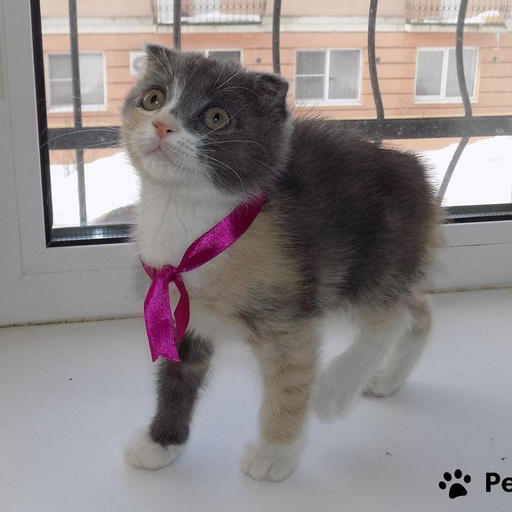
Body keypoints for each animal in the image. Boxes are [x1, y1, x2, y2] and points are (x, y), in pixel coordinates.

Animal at [121, 44, 442, 481]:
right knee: (419, 305)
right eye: (153, 99)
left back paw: (337, 389)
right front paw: (161, 444)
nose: (161, 125)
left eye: (216, 117)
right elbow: (178, 378)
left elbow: (290, 386)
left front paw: (275, 454)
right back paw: (388, 378)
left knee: (389, 318)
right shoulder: (179, 310)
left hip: (369, 263)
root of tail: (418, 173)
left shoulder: (289, 322)